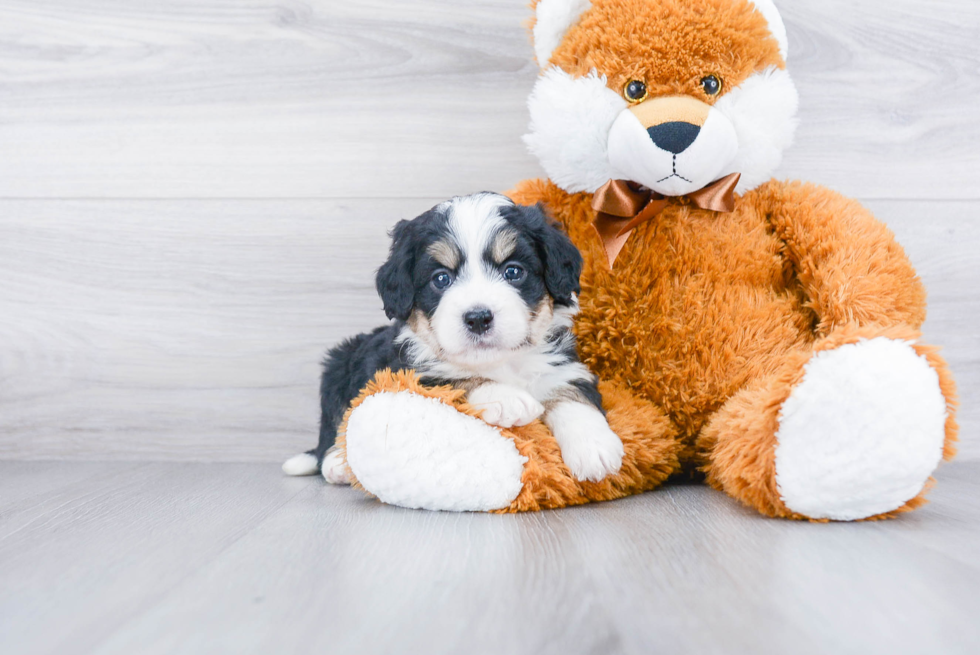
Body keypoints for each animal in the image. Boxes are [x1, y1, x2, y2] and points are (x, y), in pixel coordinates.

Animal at [280, 192, 624, 484]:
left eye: (513, 271)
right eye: (441, 279)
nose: (478, 318)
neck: (502, 363)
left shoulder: (564, 366)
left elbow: (572, 396)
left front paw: (595, 448)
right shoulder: (409, 372)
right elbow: (459, 378)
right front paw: (505, 398)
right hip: (338, 365)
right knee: (332, 428)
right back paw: (337, 463)